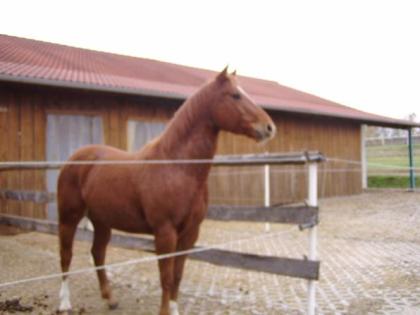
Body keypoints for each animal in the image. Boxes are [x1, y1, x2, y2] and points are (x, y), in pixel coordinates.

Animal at [58, 68, 276, 314]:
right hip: (69, 217)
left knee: (97, 253)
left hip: (102, 220)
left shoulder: (190, 233)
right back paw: (64, 303)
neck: (177, 167)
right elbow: (166, 277)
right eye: (235, 95)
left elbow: (177, 275)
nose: (269, 127)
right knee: (66, 255)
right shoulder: (165, 232)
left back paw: (110, 299)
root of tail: (75, 158)